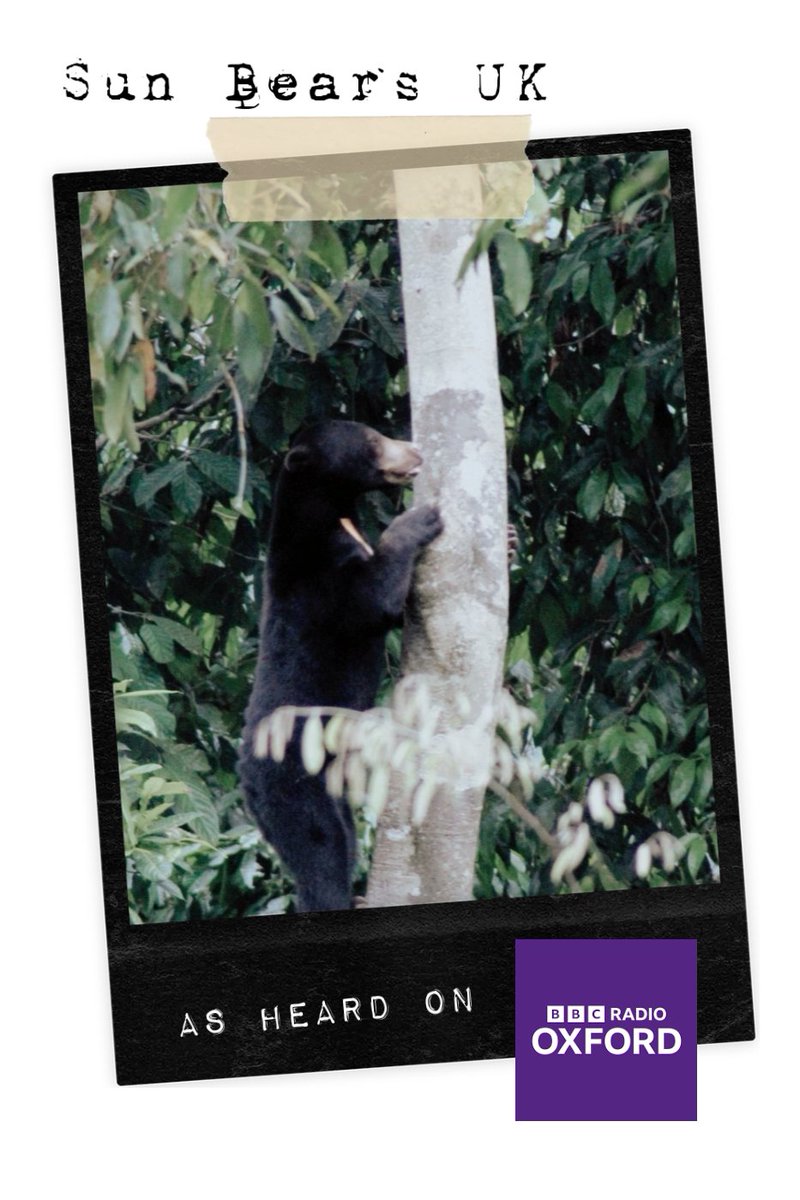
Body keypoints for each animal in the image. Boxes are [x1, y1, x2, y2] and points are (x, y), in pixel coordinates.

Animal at [238, 419, 444, 913]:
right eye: (371, 441)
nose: (414, 452)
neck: (331, 517)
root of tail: (246, 784)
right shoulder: (322, 581)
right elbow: (376, 598)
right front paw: (418, 519)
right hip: (293, 779)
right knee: (322, 850)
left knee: (343, 837)